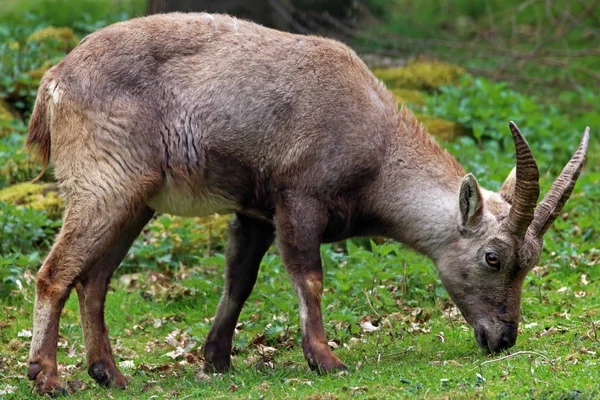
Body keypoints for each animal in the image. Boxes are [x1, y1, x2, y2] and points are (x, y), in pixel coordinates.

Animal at [25, 11, 588, 394]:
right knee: (54, 274)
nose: (503, 338)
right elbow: (309, 278)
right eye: (493, 257)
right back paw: (47, 376)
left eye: (530, 262)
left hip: (135, 201)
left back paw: (109, 374)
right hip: (103, 187)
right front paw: (325, 359)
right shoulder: (298, 199)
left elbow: (239, 281)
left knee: (95, 280)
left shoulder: (253, 214)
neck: (376, 149)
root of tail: (55, 80)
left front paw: (217, 359)